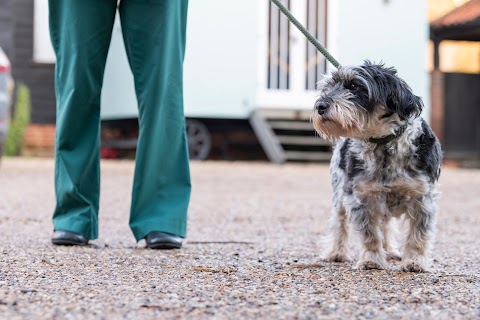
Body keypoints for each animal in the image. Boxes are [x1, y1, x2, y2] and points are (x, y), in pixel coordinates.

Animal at [312, 60, 442, 272]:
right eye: (327, 87)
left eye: (354, 86)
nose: (320, 105)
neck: (384, 144)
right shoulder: (361, 198)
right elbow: (370, 235)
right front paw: (371, 260)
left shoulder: (422, 198)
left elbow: (418, 236)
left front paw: (414, 262)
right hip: (339, 195)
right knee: (340, 223)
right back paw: (337, 253)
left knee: (386, 225)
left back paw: (391, 251)